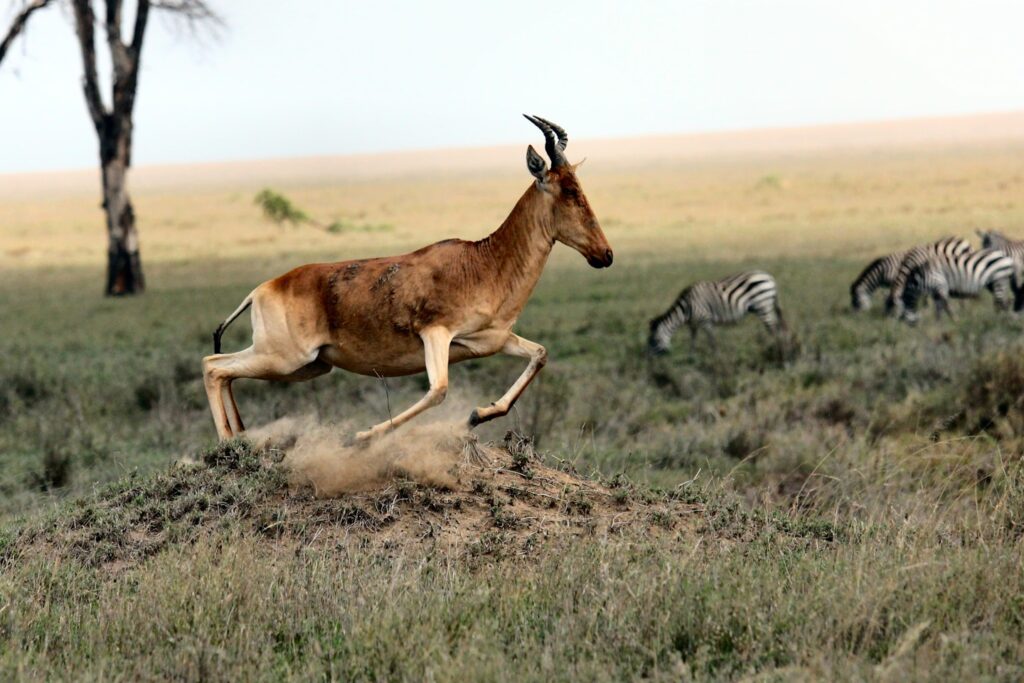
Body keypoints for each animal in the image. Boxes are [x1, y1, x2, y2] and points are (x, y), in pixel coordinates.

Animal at [202, 115, 613, 443]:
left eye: (580, 186)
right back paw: (227, 444)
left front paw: (478, 414)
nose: (605, 255)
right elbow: (438, 390)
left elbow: (540, 355)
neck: (482, 261)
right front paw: (364, 435)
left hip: (309, 366)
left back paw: (240, 437)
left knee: (225, 371)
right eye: (569, 191)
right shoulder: (436, 333)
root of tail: (262, 289)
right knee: (213, 365)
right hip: (285, 357)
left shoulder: (491, 341)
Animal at [648, 271, 785, 354]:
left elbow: (712, 340)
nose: (649, 360)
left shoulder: (705, 319)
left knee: (773, 329)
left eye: (654, 340)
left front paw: (716, 357)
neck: (686, 309)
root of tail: (770, 277)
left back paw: (774, 348)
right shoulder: (693, 323)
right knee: (777, 327)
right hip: (766, 307)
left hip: (763, 306)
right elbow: (693, 339)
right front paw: (691, 356)